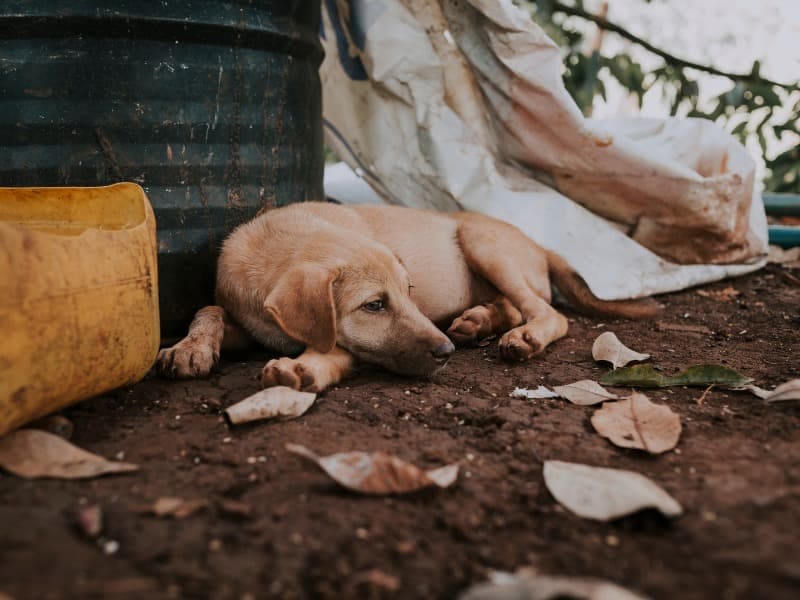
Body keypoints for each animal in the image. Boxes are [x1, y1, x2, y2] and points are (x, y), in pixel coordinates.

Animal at [156, 202, 656, 392]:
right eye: (375, 305)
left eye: (409, 292)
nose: (446, 353)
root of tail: (539, 244)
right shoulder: (248, 319)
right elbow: (209, 307)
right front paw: (190, 347)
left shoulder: (345, 344)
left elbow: (331, 349)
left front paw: (302, 368)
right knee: (516, 305)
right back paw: (478, 320)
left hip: (482, 243)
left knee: (548, 313)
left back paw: (521, 336)